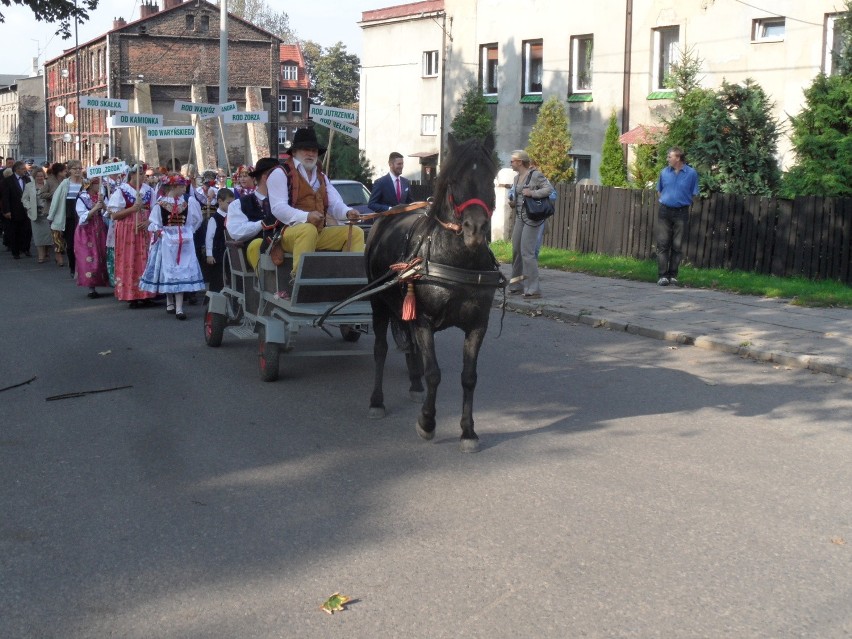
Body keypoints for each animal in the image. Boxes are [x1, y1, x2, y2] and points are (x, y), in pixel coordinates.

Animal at [362, 134, 502, 456]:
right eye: (454, 180)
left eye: (490, 178)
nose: (476, 229)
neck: (456, 260)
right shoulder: (424, 319)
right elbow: (434, 372)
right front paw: (427, 422)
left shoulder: (478, 325)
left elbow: (469, 377)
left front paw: (468, 431)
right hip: (378, 304)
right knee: (380, 350)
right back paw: (377, 401)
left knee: (411, 348)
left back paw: (414, 385)